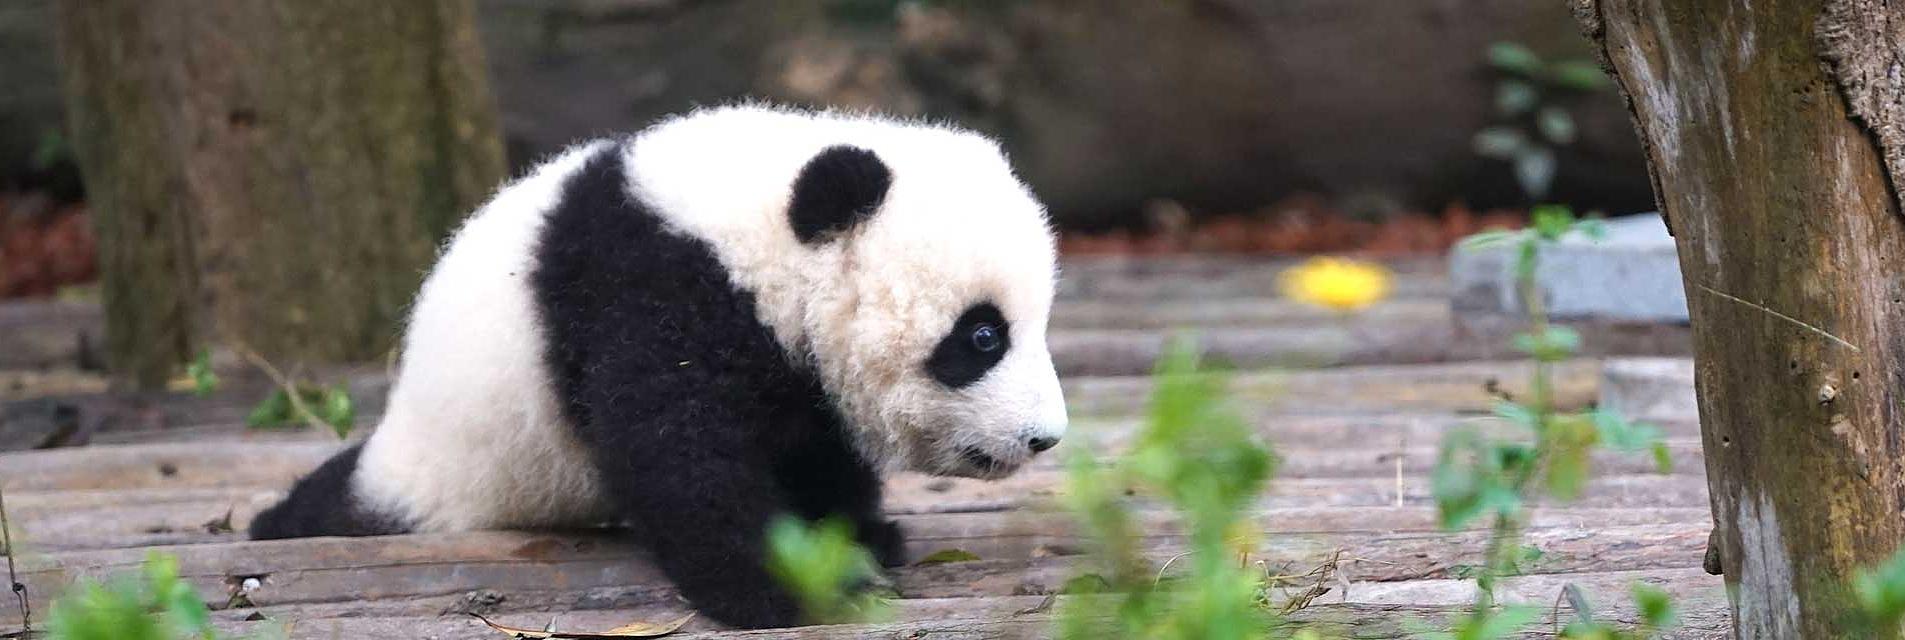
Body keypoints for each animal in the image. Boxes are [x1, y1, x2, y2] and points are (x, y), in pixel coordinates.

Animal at [247, 104, 1069, 629]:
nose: (1044, 437)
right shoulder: (647, 292)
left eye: (1036, 325)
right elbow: (680, 456)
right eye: (983, 337)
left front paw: (857, 539)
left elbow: (812, 445)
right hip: (450, 466)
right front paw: (790, 589)